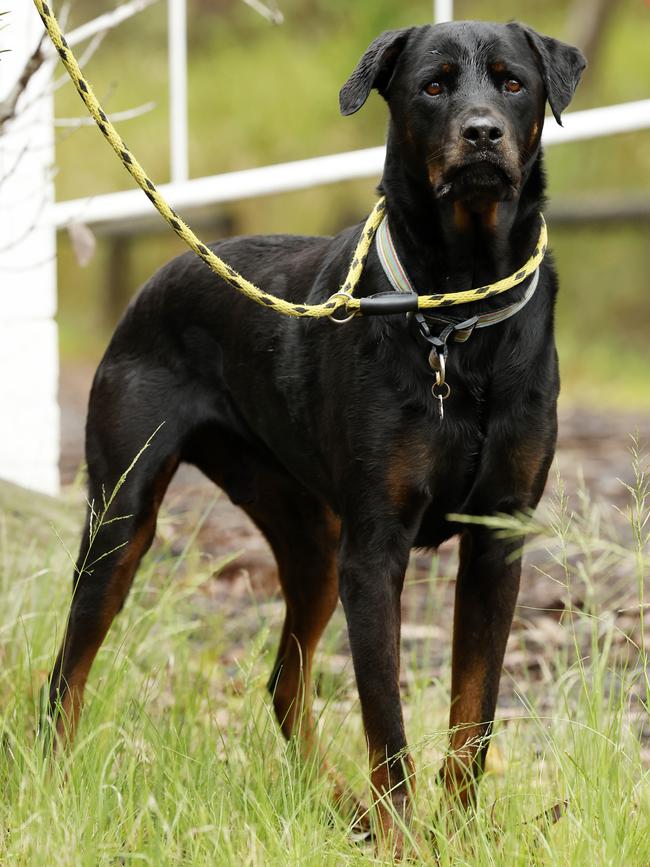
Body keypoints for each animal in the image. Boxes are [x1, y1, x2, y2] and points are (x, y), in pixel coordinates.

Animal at [49, 17, 584, 848]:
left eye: (513, 82)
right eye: (433, 85)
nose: (482, 132)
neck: (457, 315)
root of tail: (160, 275)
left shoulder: (497, 539)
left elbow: (474, 715)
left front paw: (456, 835)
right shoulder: (373, 550)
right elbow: (387, 724)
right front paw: (405, 843)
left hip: (306, 536)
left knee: (282, 683)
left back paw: (345, 809)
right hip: (123, 513)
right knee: (68, 669)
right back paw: (55, 787)